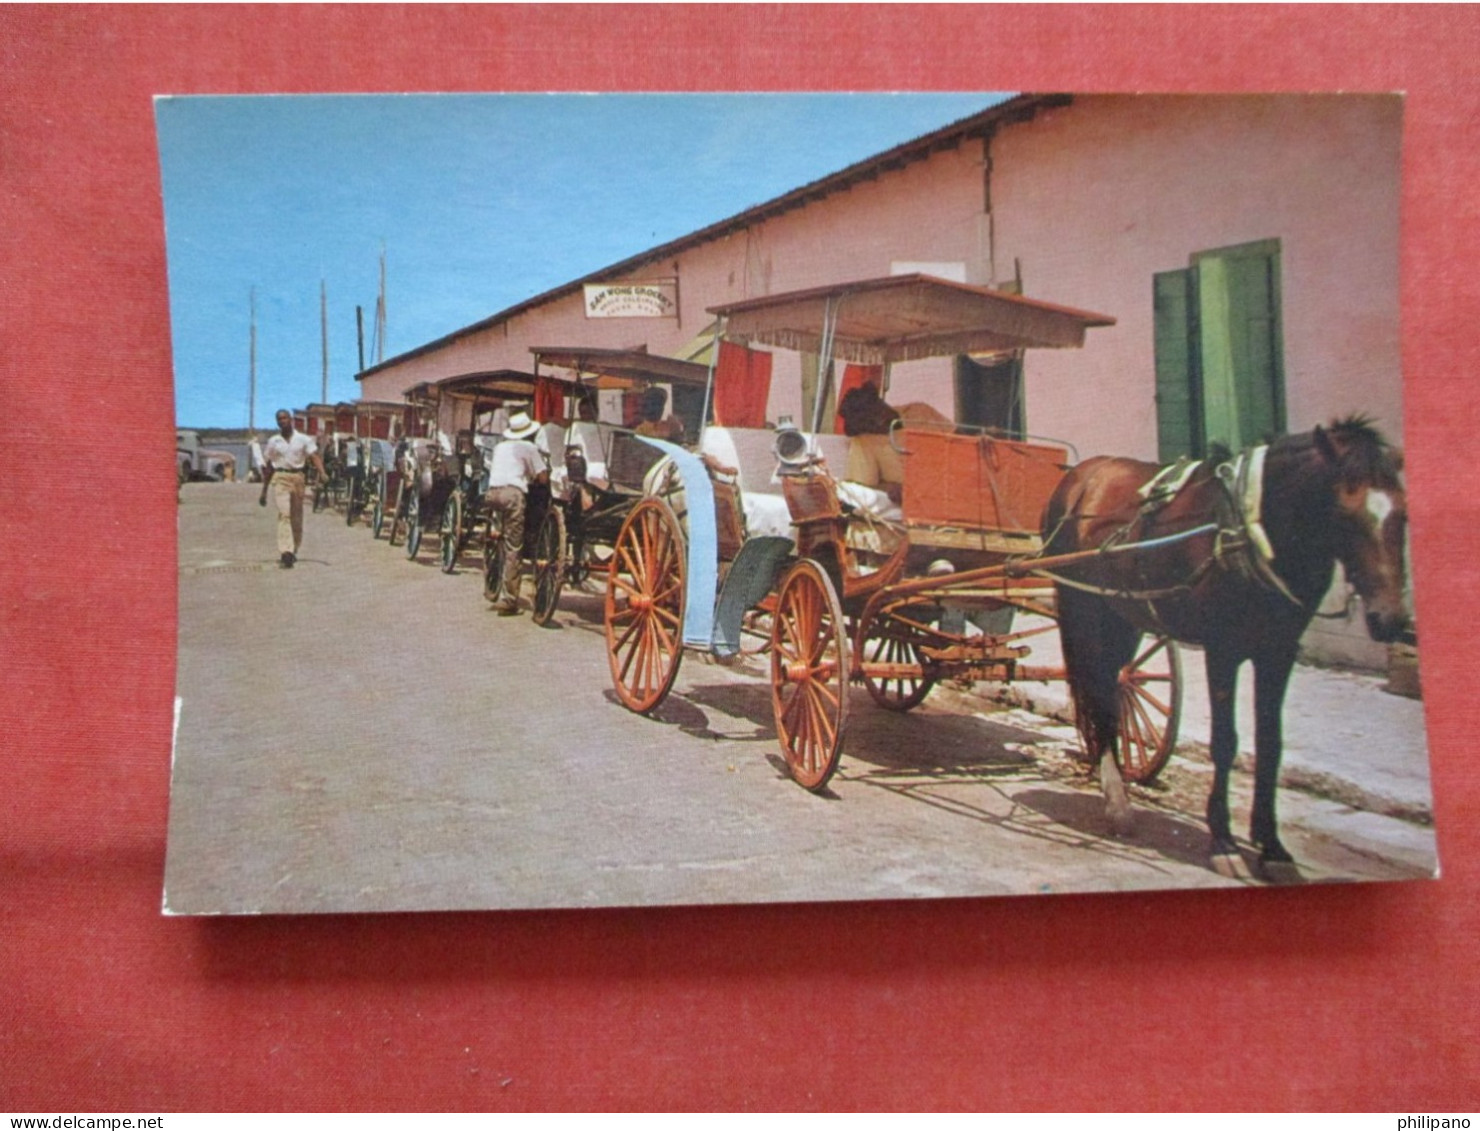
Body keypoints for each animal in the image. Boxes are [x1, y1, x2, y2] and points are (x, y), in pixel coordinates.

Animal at [1041, 414, 1408, 876]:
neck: (1251, 530)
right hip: (1083, 608)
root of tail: (1080, 474)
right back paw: (1117, 802)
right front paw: (1223, 842)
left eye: (1404, 515)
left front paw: (1272, 847)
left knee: (1110, 688)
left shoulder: (1278, 652)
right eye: (1343, 511)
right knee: (1096, 691)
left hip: (1121, 616)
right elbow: (1225, 741)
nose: (1391, 619)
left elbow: (1270, 742)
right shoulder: (1223, 649)